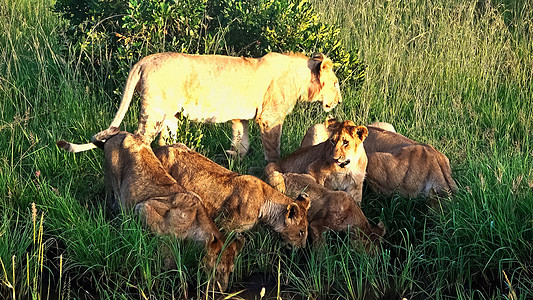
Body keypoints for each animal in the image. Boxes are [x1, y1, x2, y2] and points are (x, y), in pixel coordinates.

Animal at [56, 130, 239, 292]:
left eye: (231, 271)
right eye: (220, 270)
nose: (222, 289)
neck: (197, 226)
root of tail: (120, 134)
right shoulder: (144, 208)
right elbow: (167, 254)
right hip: (113, 184)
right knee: (113, 204)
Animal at [58, 52, 340, 163]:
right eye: (337, 83)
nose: (338, 101)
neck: (301, 78)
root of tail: (144, 60)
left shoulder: (240, 118)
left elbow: (241, 142)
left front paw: (233, 161)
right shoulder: (270, 118)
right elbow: (273, 151)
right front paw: (273, 169)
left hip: (170, 117)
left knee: (163, 142)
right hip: (154, 112)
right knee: (138, 141)